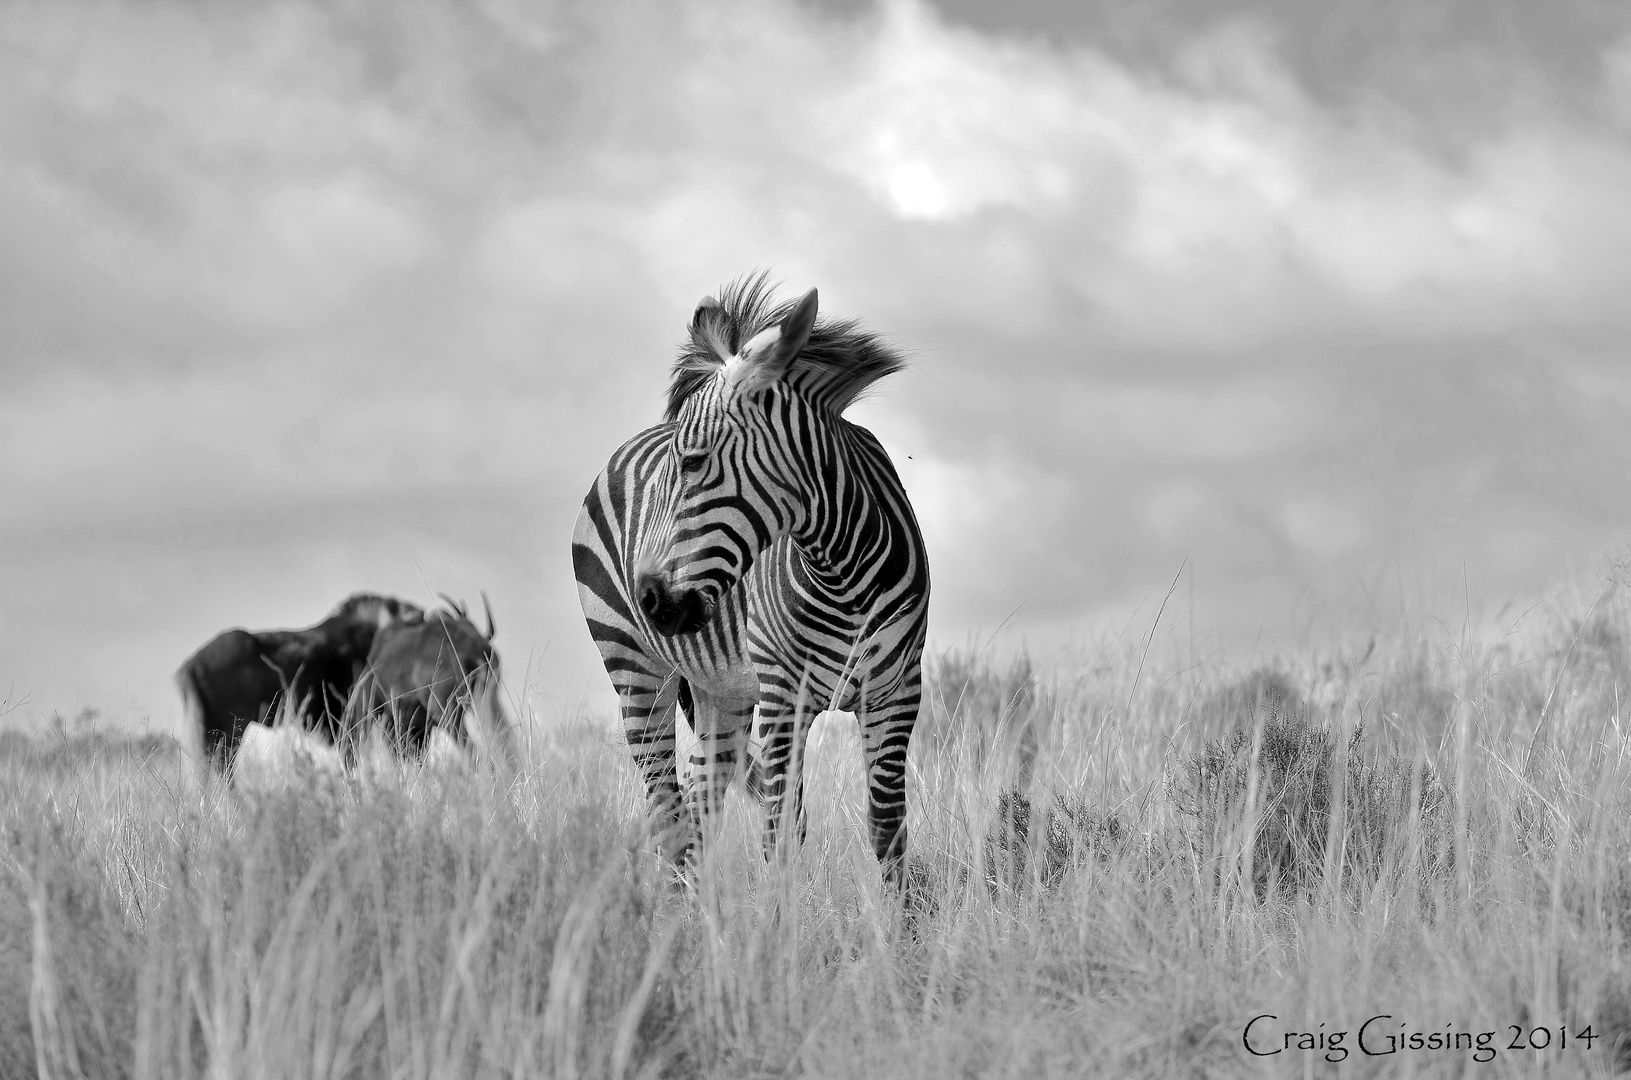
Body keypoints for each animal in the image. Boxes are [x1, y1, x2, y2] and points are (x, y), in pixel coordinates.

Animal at [574, 277, 932, 887]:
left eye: (693, 462)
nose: (649, 600)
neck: (843, 572)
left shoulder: (897, 694)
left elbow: (888, 834)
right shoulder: (783, 699)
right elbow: (782, 838)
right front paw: (781, 917)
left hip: (723, 692)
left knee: (698, 808)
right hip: (635, 671)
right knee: (667, 814)